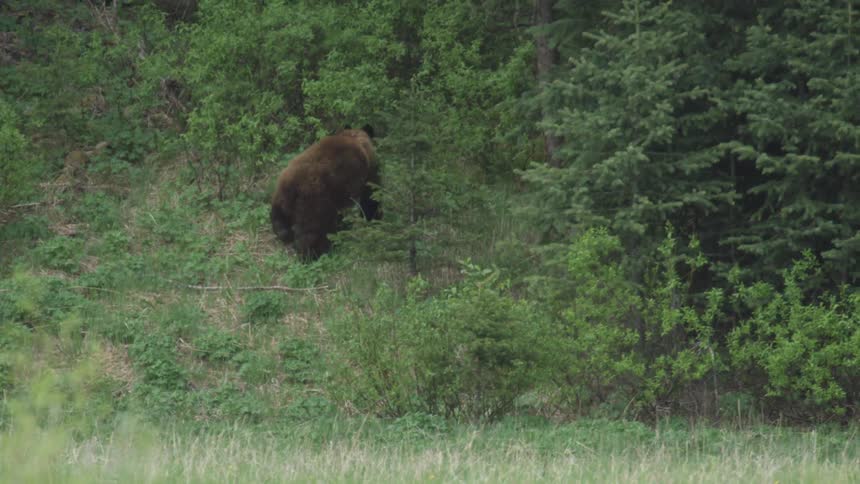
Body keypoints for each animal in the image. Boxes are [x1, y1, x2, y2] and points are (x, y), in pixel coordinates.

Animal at [270, 125, 380, 259]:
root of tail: (292, 186)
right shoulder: (367, 171)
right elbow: (371, 195)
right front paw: (373, 219)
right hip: (315, 200)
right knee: (313, 230)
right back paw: (312, 253)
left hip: (280, 196)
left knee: (279, 219)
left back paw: (285, 235)